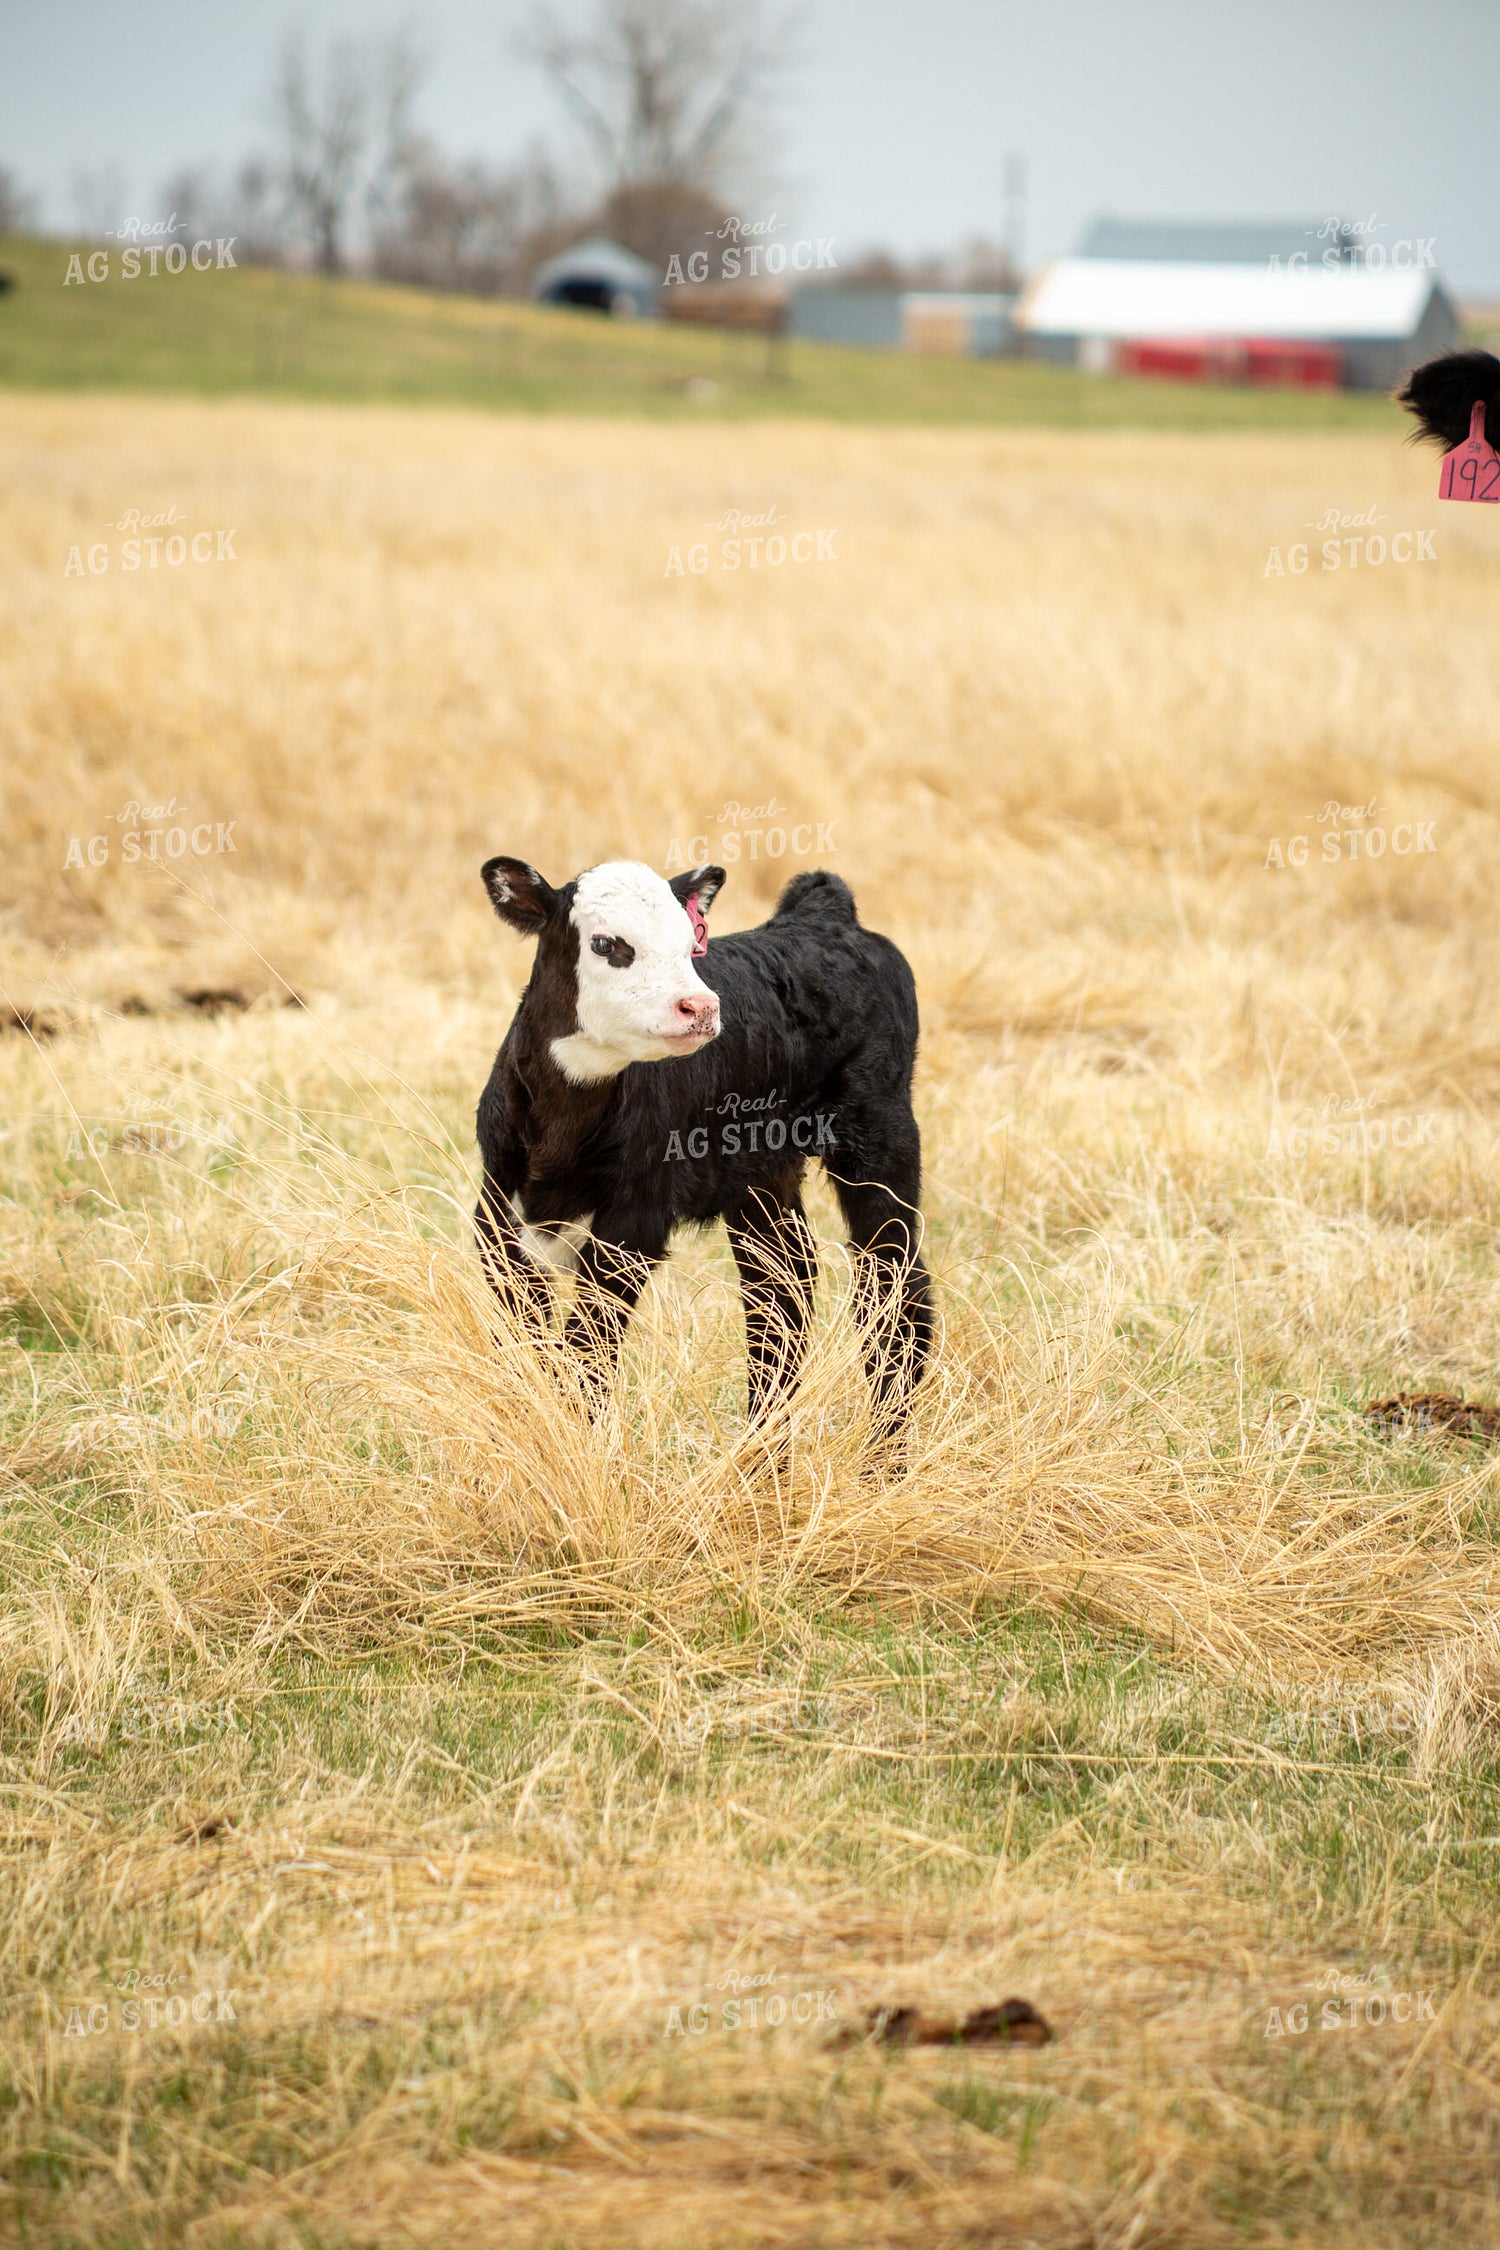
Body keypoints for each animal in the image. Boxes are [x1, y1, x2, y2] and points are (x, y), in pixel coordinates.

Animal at [474, 856, 932, 1445]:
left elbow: (586, 1352)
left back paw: (883, 1455)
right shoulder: (497, 1214)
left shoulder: (634, 1223)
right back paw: (763, 1453)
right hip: (761, 1173)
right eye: (605, 943)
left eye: (691, 942)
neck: (560, 1134)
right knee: (782, 1289)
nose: (701, 1007)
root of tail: (823, 915)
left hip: (881, 1134)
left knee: (894, 1289)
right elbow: (523, 1348)